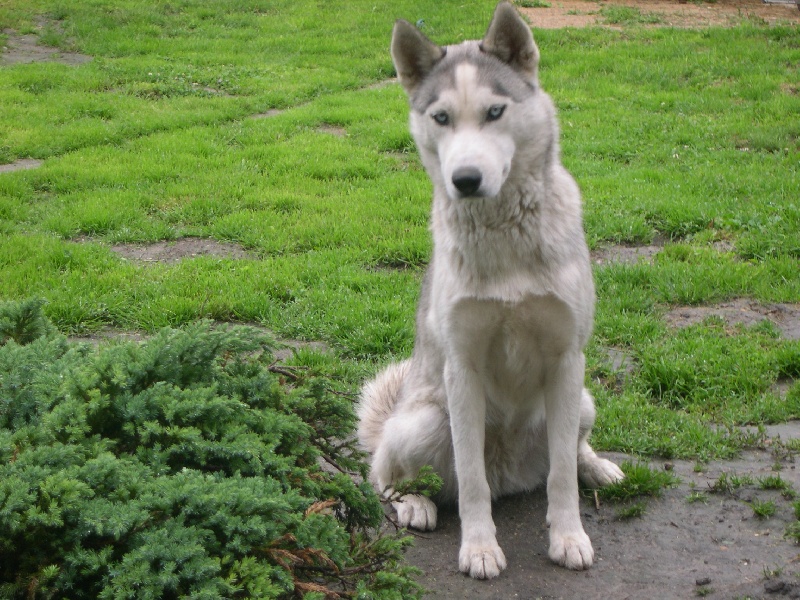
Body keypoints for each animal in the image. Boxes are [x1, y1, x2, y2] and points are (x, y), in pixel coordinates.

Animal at [356, 2, 624, 580]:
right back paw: (414, 503)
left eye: (495, 112)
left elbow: (561, 476)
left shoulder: (567, 359)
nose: (466, 179)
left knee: (570, 452)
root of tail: (511, 474)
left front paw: (569, 537)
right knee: (383, 475)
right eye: (441, 118)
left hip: (583, 400)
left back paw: (597, 468)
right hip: (424, 421)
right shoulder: (463, 368)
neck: (505, 236)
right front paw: (479, 548)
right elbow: (472, 482)